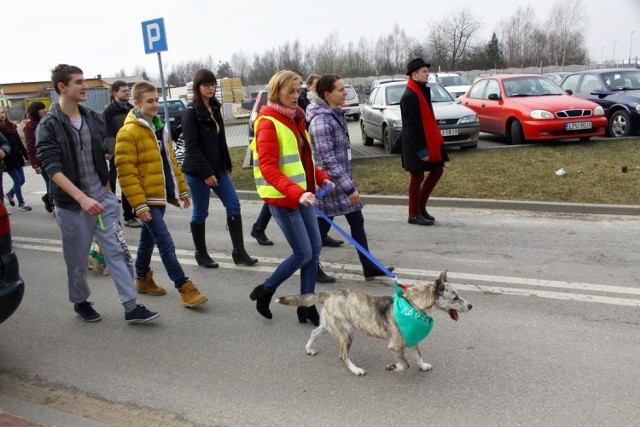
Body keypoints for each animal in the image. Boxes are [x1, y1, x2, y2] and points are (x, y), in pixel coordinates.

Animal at [276, 272, 470, 376]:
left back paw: (309, 348)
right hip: (347, 333)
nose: (471, 306)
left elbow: (417, 355)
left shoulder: (412, 338)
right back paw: (355, 369)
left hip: (331, 325)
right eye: (455, 298)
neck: (412, 304)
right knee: (343, 356)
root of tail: (329, 293)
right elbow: (405, 364)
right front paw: (393, 367)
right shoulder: (395, 346)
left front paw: (422, 365)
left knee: (314, 333)